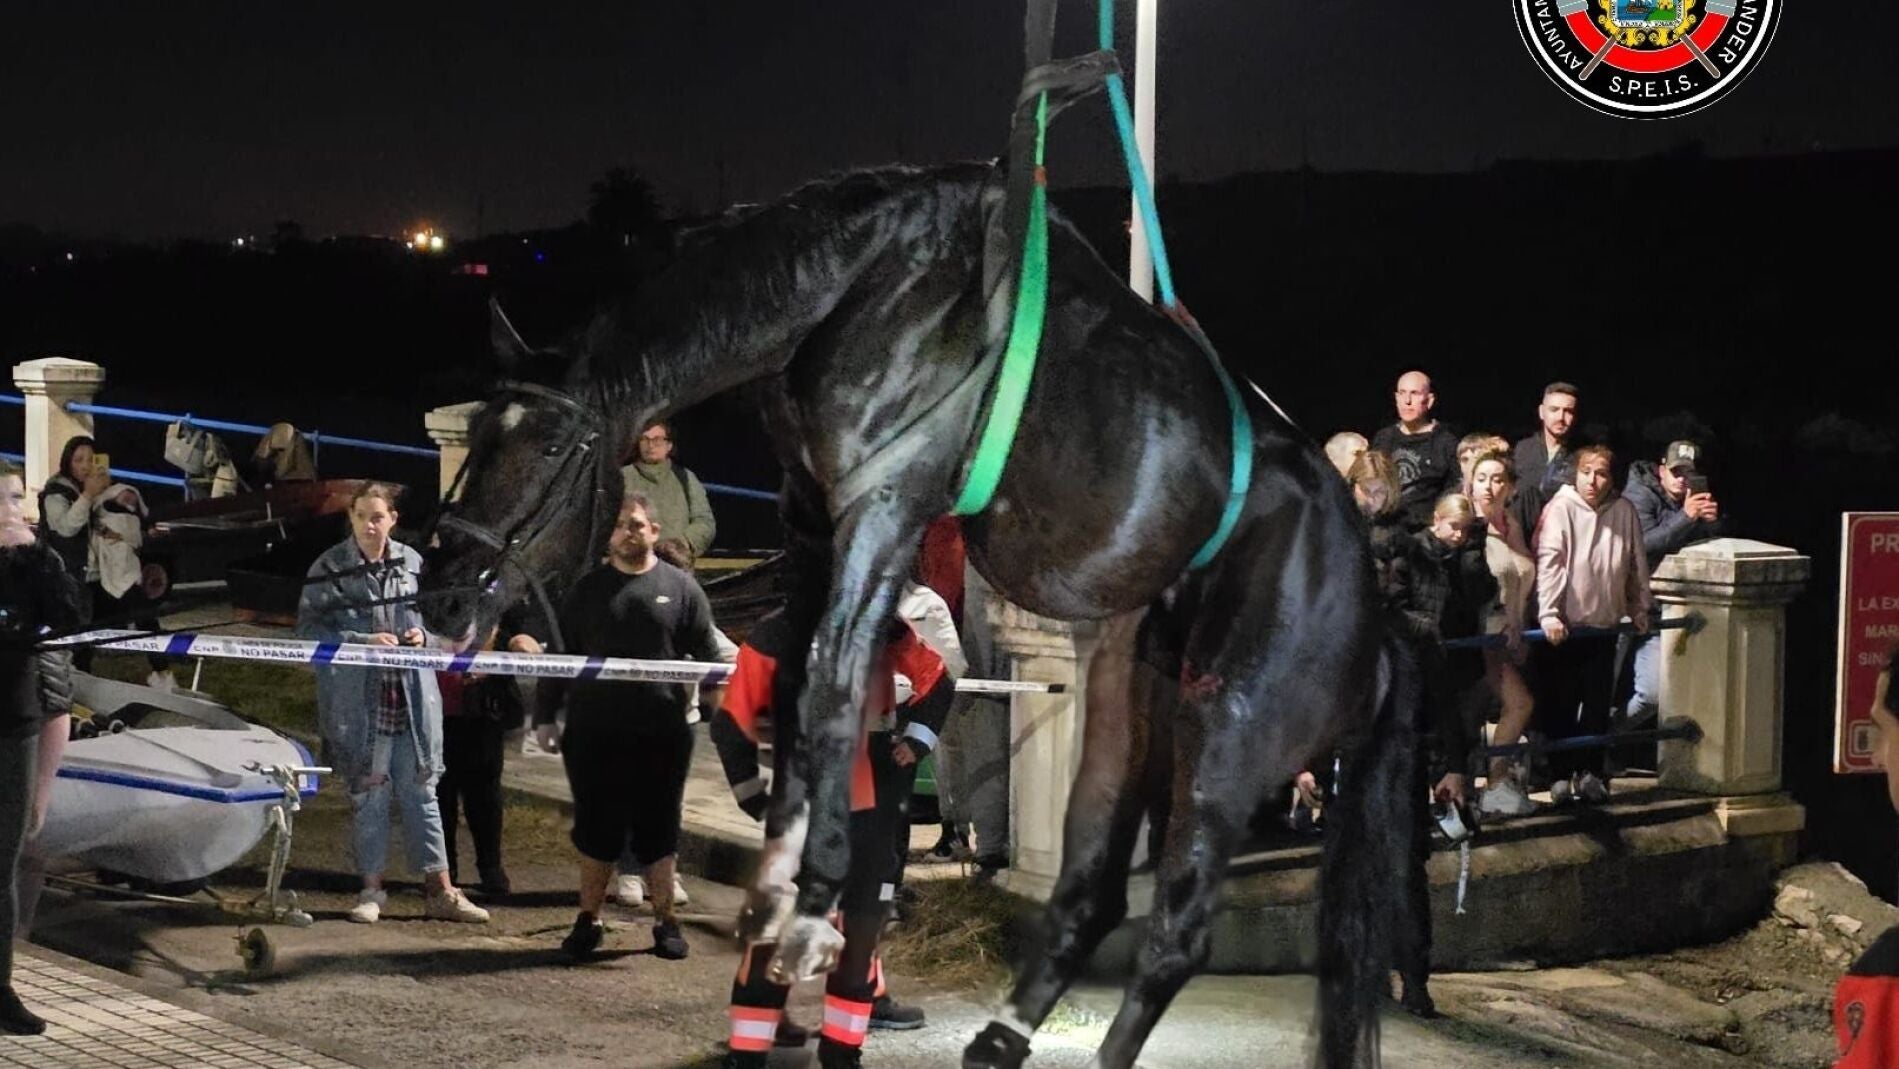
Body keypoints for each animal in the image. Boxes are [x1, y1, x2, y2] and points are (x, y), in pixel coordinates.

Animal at [423, 161, 1420, 1069]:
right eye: (480, 436)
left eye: (549, 444)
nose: (443, 587)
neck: (862, 283)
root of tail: (1376, 633)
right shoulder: (816, 520)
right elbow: (802, 684)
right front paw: (787, 876)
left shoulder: (888, 501)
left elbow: (831, 686)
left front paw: (811, 902)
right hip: (1126, 710)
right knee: (1090, 895)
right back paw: (1000, 1037)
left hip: (1229, 732)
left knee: (1177, 929)